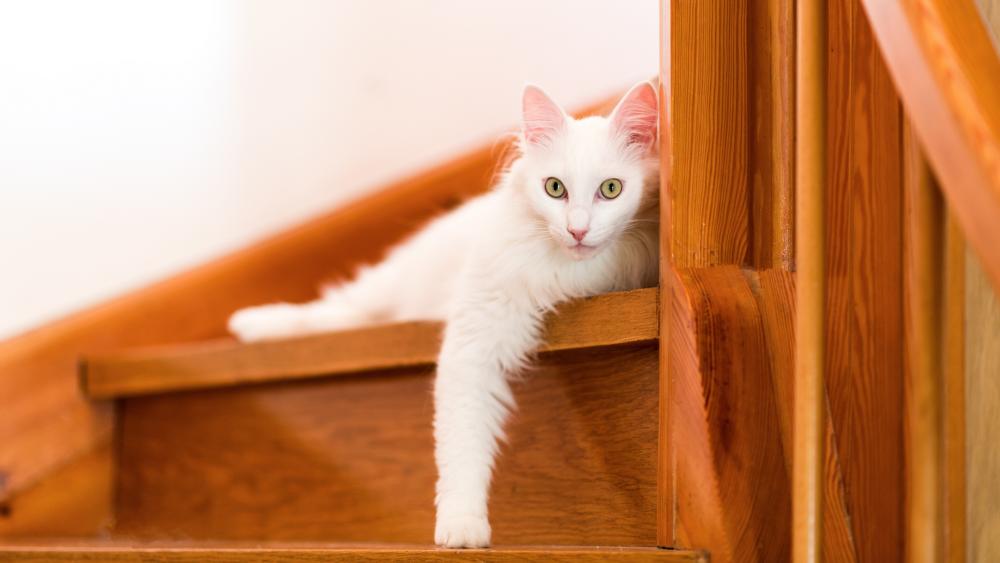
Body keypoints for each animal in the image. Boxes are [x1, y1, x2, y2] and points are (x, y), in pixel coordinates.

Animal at [229, 81, 660, 548]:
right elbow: (461, 445)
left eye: (612, 189)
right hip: (390, 283)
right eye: (555, 188)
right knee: (338, 309)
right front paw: (462, 528)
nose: (577, 230)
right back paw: (254, 325)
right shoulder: (475, 336)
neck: (566, 273)